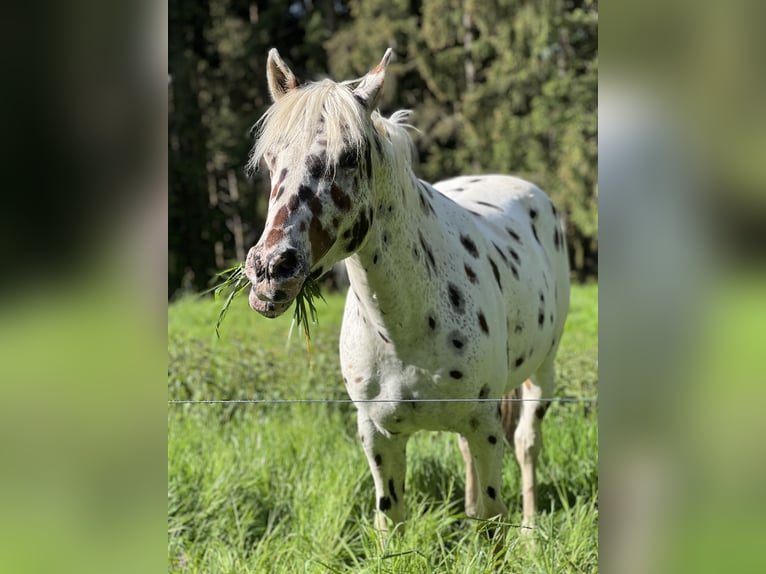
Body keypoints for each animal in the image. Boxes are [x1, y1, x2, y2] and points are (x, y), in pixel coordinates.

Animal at [244, 49, 568, 540]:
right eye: (270, 159)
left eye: (350, 156)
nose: (269, 270)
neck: (404, 325)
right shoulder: (379, 436)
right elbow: (391, 520)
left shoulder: (485, 425)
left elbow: (493, 518)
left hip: (540, 374)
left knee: (527, 444)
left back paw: (531, 534)